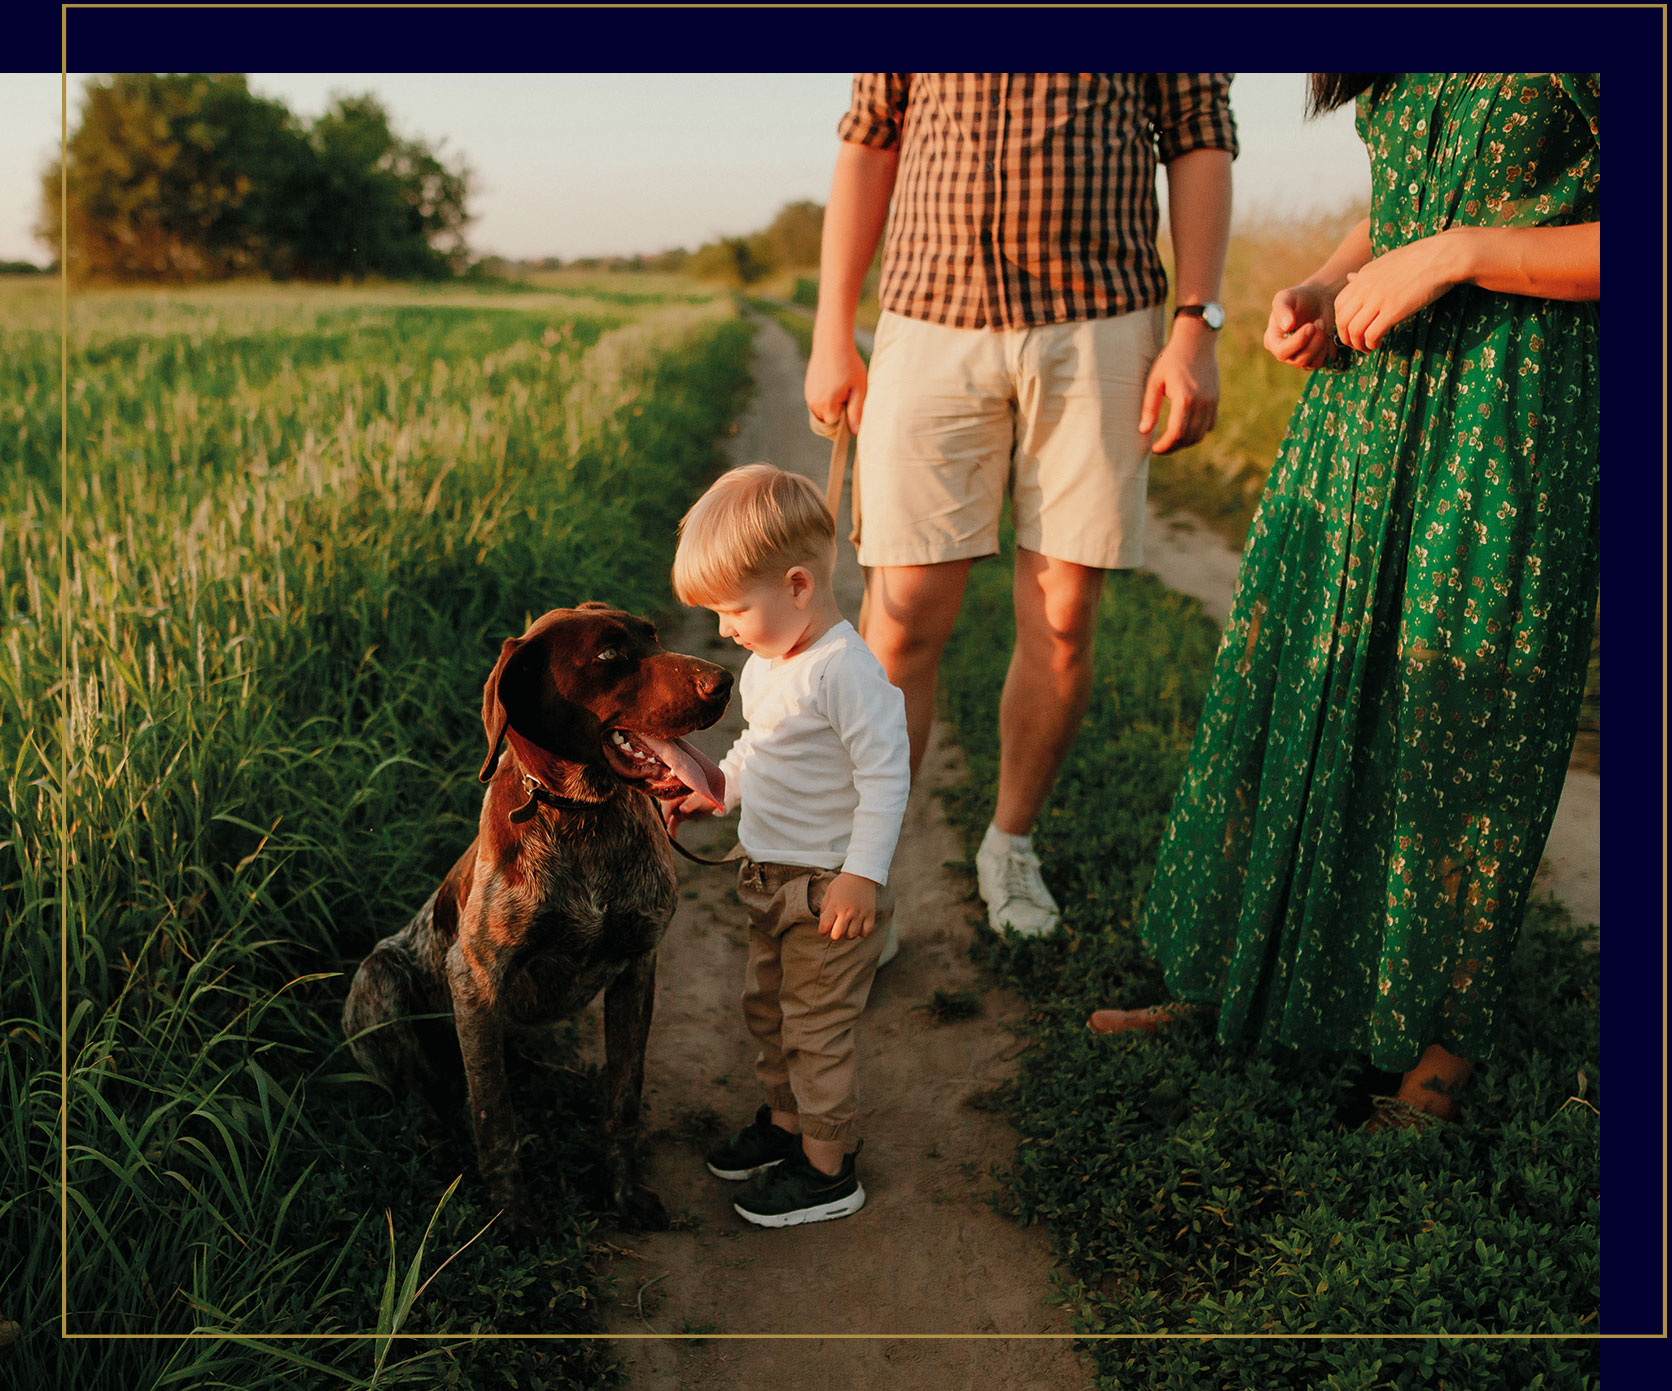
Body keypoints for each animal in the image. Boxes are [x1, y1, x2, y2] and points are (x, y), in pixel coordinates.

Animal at [342, 601, 728, 1230]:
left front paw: (620, 1193)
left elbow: (623, 1098)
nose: (724, 682)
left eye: (652, 635)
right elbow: (494, 1119)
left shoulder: (638, 965)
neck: (584, 816)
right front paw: (512, 1219)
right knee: (419, 1101)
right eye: (609, 654)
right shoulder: (473, 979)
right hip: (382, 976)